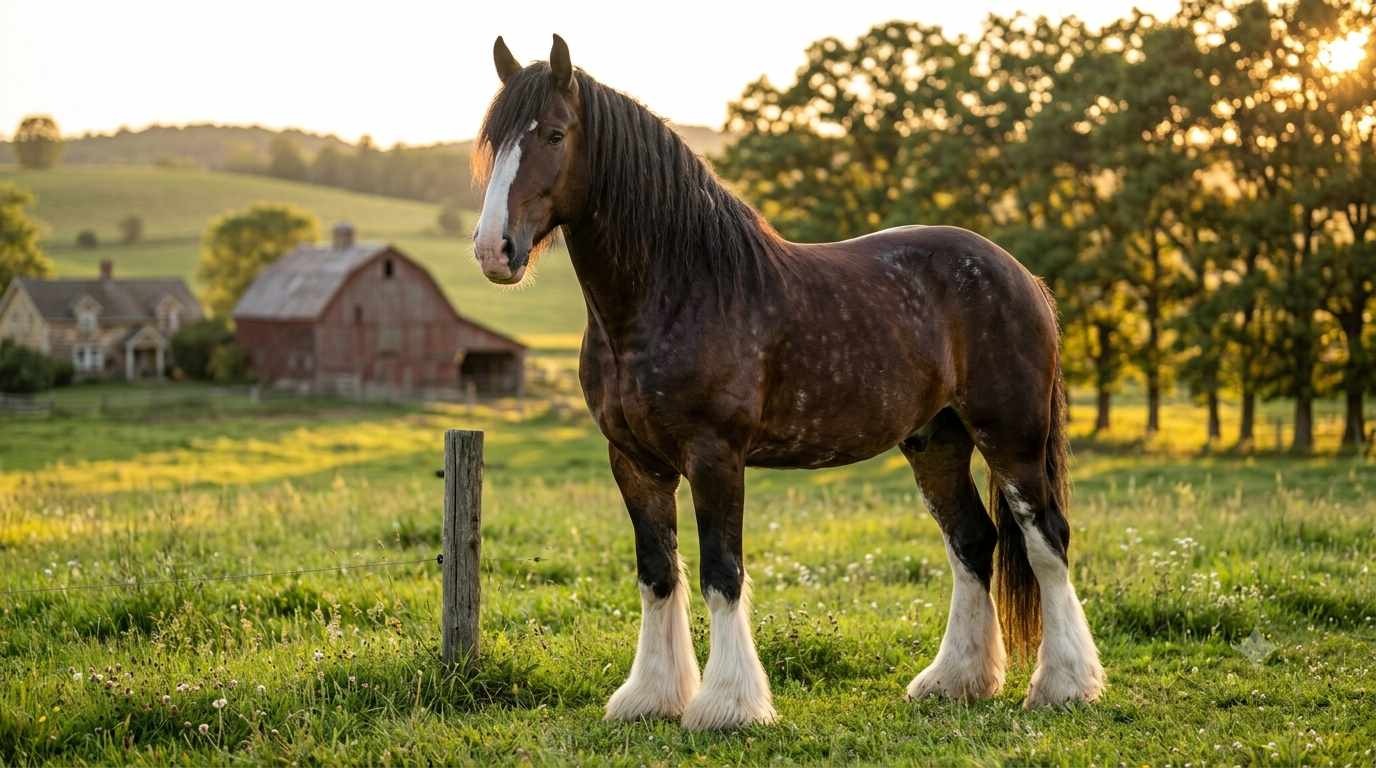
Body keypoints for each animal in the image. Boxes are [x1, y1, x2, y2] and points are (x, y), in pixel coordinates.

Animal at [470, 34, 1105, 731]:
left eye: (555, 134)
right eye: (493, 140)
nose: (494, 250)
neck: (676, 288)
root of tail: (1019, 274)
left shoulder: (715, 455)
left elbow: (722, 572)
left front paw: (727, 705)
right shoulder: (634, 461)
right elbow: (657, 571)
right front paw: (652, 697)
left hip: (1011, 435)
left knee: (1046, 542)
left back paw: (1064, 686)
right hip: (936, 441)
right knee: (972, 541)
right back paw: (956, 681)